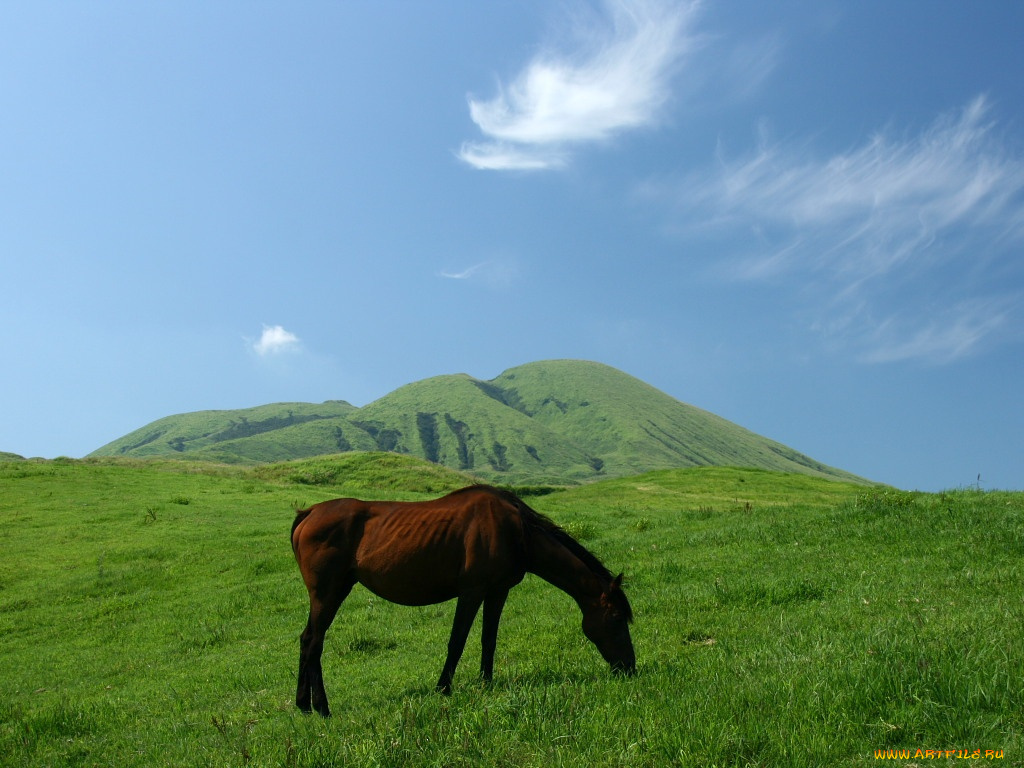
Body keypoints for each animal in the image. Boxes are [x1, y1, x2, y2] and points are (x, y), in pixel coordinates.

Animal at [288, 487, 634, 716]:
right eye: (617, 619)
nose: (630, 667)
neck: (516, 531)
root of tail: (309, 513)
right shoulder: (471, 592)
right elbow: (457, 641)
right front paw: (444, 687)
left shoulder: (498, 591)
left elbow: (488, 640)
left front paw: (486, 683)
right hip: (328, 593)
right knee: (315, 642)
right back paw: (322, 707)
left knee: (306, 639)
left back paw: (303, 704)